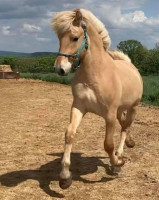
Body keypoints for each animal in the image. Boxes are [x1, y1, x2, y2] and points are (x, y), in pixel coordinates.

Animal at [52, 8, 143, 189]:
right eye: (59, 37)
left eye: (74, 37)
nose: (60, 69)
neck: (95, 74)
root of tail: (130, 65)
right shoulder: (78, 107)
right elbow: (69, 134)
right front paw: (65, 177)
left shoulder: (109, 115)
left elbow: (108, 144)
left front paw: (117, 164)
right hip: (120, 110)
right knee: (125, 125)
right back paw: (129, 143)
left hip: (133, 108)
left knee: (124, 129)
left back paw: (120, 156)